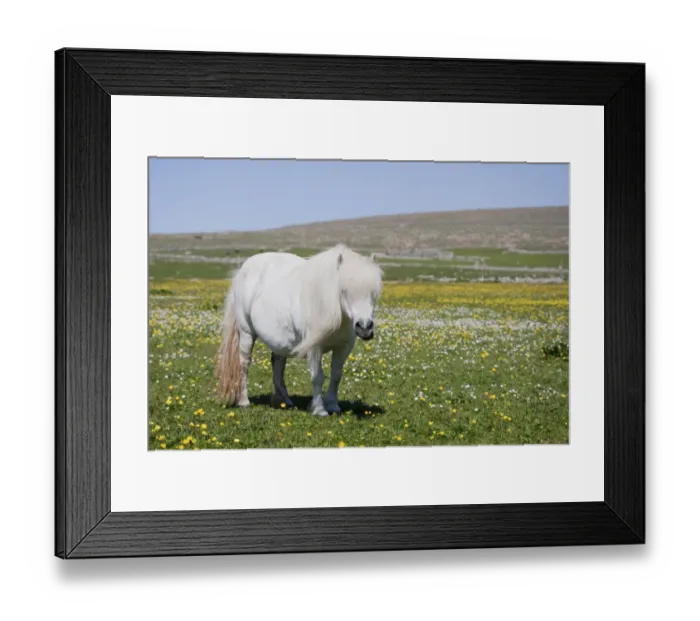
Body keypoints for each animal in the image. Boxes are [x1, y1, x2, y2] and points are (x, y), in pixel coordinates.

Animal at [215, 244, 383, 417]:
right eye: (343, 291)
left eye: (373, 293)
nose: (364, 327)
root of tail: (242, 271)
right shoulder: (314, 347)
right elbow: (317, 376)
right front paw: (319, 409)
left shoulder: (344, 346)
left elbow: (336, 375)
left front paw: (332, 405)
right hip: (246, 333)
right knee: (244, 363)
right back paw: (244, 401)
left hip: (280, 340)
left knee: (277, 364)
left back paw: (283, 400)